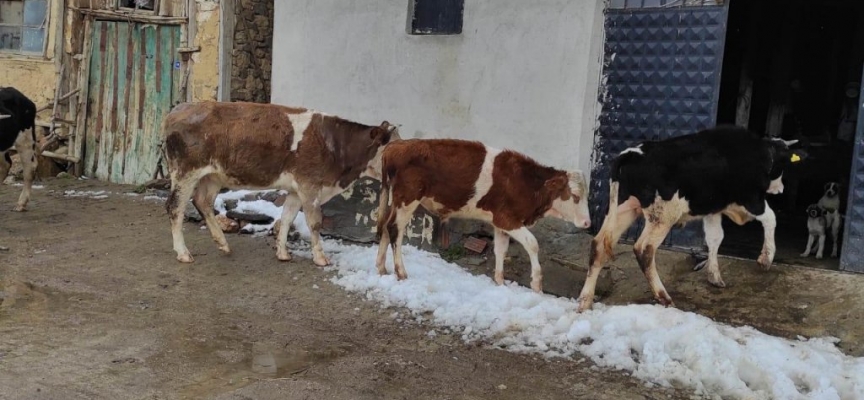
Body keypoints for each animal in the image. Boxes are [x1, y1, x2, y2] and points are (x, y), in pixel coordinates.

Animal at [162, 102, 398, 266]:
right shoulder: (310, 186)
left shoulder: (295, 190)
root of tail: (179, 109)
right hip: (185, 172)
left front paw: (282, 253)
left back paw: (223, 243)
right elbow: (315, 223)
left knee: (203, 202)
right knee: (175, 208)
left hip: (212, 176)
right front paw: (320, 258)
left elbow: (286, 218)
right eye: (394, 146)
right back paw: (183, 253)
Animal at [374, 139, 592, 292]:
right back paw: (401, 272)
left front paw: (500, 282)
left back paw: (381, 268)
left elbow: (501, 250)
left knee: (385, 225)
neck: (526, 183)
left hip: (396, 200)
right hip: (407, 200)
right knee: (395, 229)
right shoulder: (507, 219)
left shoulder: (499, 223)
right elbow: (532, 243)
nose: (588, 222)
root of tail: (396, 145)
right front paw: (536, 283)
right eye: (575, 196)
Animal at [576, 126, 808, 310]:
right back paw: (663, 296)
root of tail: (632, 153)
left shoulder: (713, 209)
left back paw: (585, 301)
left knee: (598, 245)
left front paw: (714, 276)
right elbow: (771, 218)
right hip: (662, 216)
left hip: (623, 209)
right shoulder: (751, 199)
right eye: (783, 165)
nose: (781, 189)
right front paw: (766, 258)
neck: (760, 153)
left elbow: (715, 238)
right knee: (644, 249)